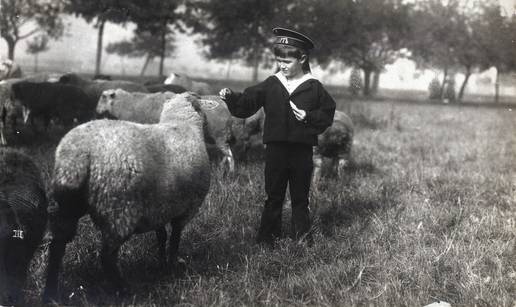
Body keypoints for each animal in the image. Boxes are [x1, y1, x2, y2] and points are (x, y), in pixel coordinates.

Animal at [42, 92, 212, 304]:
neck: (181, 124)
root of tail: (77, 155)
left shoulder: (159, 207)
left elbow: (162, 236)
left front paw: (162, 263)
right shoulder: (187, 208)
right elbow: (174, 239)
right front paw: (172, 265)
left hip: (66, 204)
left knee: (57, 247)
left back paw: (50, 294)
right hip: (119, 209)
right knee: (106, 256)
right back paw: (124, 291)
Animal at [95, 90, 235, 174]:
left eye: (103, 97)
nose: (97, 111)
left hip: (220, 134)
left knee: (229, 154)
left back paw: (231, 172)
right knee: (226, 153)